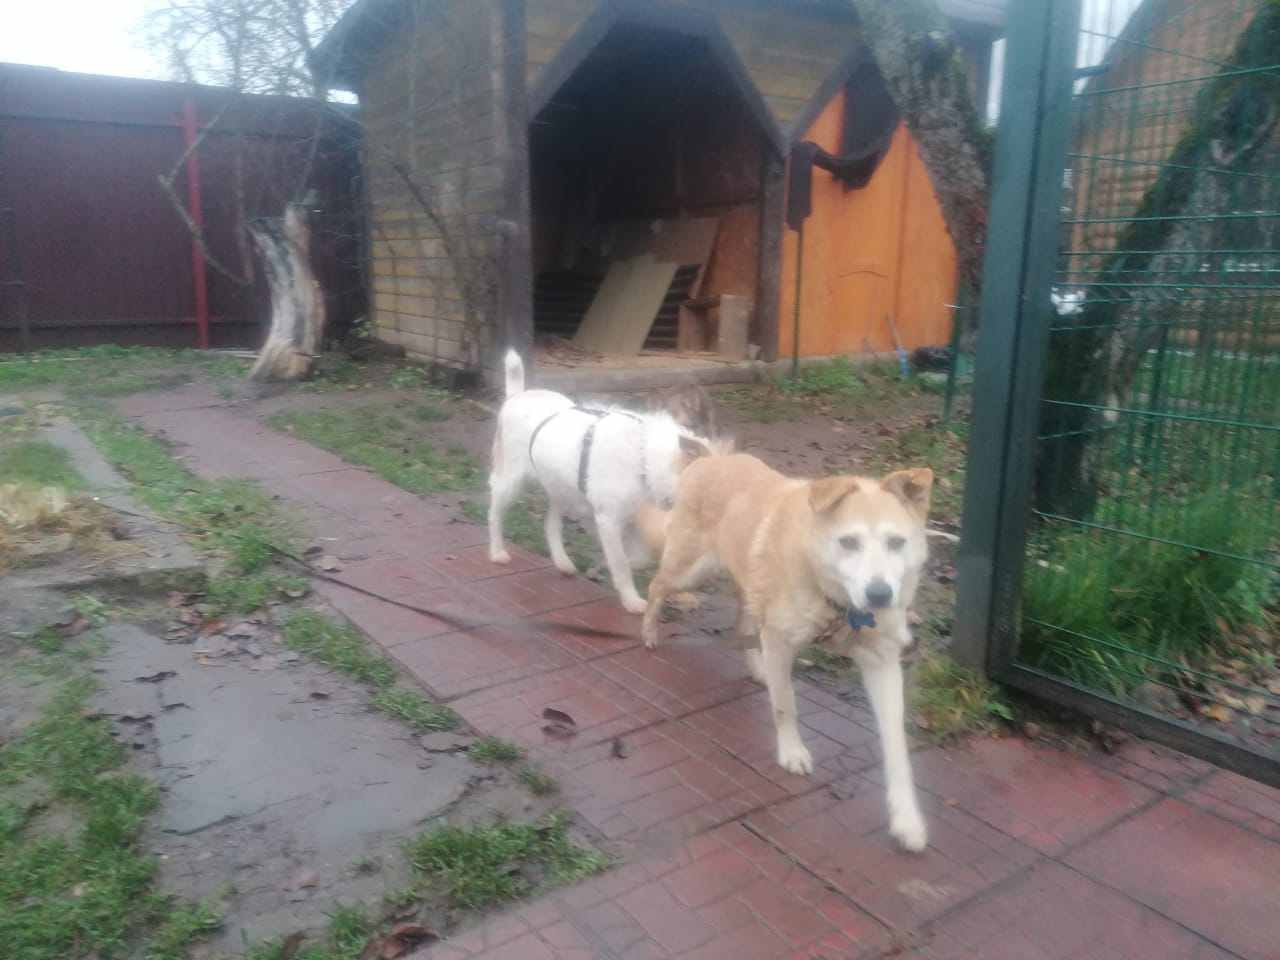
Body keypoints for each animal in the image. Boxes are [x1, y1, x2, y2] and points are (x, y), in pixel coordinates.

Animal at [489, 350, 713, 613]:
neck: (643, 457)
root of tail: (517, 395)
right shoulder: (609, 520)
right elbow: (621, 563)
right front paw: (631, 600)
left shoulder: (628, 519)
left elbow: (635, 558)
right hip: (511, 480)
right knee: (495, 513)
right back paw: (497, 552)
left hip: (561, 489)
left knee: (551, 523)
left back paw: (562, 562)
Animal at [641, 453, 932, 851]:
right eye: (849, 542)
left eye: (896, 542)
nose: (879, 595)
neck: (837, 602)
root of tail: (709, 457)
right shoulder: (780, 641)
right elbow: (786, 705)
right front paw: (792, 752)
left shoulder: (882, 661)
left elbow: (896, 746)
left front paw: (907, 819)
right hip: (690, 571)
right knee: (656, 588)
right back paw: (649, 630)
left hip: (747, 587)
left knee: (744, 628)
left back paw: (757, 669)